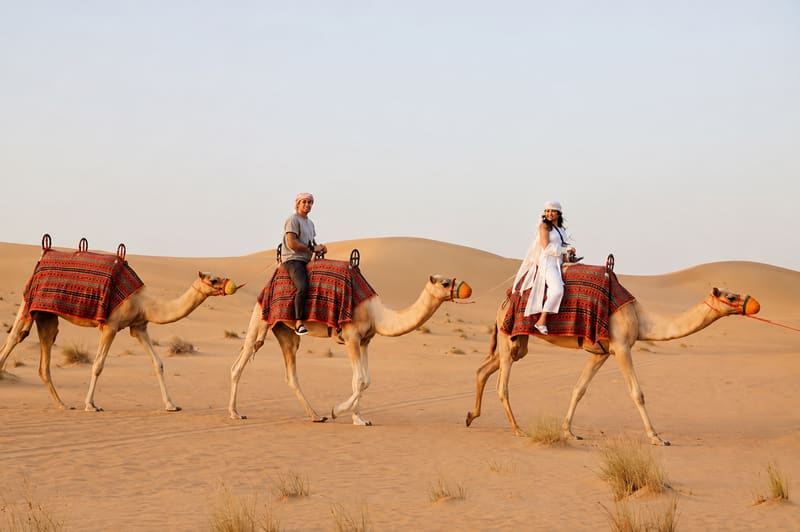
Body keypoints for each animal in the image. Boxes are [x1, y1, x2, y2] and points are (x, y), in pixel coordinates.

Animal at [0, 271, 240, 412]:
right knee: (13, 338)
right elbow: (98, 365)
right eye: (213, 279)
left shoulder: (139, 327)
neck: (145, 303)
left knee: (42, 359)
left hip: (46, 317)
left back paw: (62, 404)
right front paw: (90, 405)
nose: (231, 284)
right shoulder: (111, 325)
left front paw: (171, 405)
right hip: (28, 304)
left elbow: (158, 363)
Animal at [229, 273, 472, 425]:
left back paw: (315, 416)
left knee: (290, 374)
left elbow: (364, 380)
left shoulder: (364, 341)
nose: (466, 289)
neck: (376, 313)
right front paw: (337, 411)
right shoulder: (351, 337)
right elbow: (360, 380)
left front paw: (360, 419)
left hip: (285, 332)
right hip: (260, 318)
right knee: (240, 363)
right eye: (444, 283)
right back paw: (235, 413)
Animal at [465, 285, 760, 445]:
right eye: (731, 297)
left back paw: (471, 416)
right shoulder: (621, 347)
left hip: (519, 341)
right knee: (502, 384)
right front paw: (657, 437)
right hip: (508, 335)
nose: (753, 304)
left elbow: (579, 389)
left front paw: (569, 432)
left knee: (484, 369)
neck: (641, 319)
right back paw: (517, 429)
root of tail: (504, 301)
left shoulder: (601, 352)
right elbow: (637, 393)